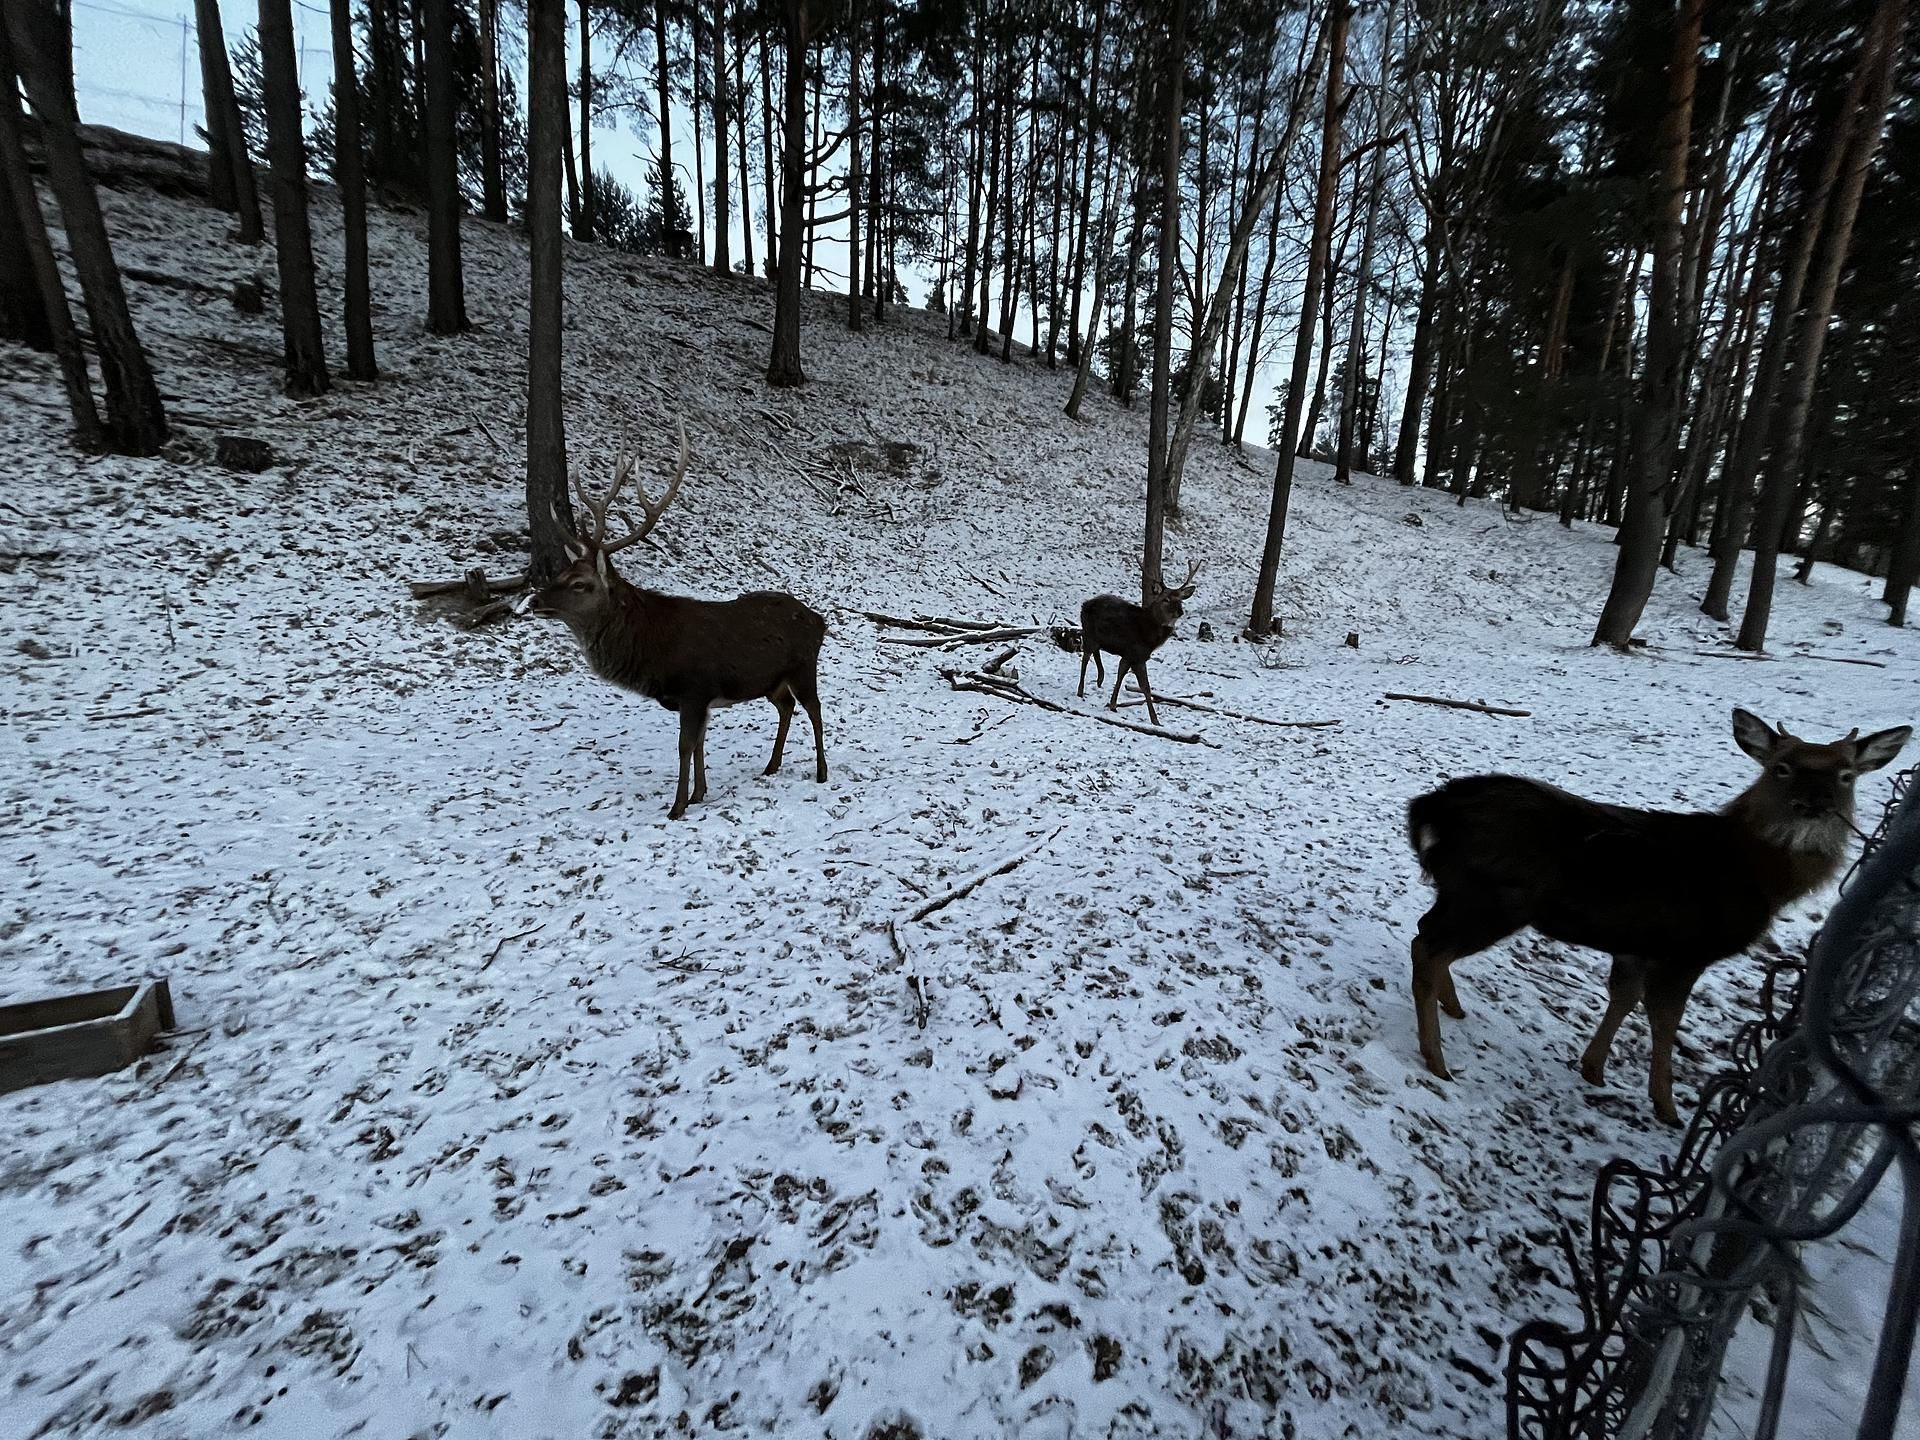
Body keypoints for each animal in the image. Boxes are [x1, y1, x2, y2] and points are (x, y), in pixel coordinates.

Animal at [533, 422, 825, 817]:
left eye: (580, 583)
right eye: (562, 574)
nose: (534, 600)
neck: (654, 651)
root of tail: (820, 621)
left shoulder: (695, 689)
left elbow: (685, 745)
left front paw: (677, 807)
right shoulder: (700, 700)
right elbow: (699, 743)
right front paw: (699, 793)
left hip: (802, 666)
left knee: (815, 710)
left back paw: (822, 772)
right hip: (771, 681)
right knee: (787, 707)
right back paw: (771, 765)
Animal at [1082, 556, 1198, 725]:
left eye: (1181, 600)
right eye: (1166, 599)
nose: (1180, 611)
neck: (1148, 636)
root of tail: (1084, 604)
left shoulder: (1133, 656)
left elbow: (1128, 677)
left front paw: (1113, 704)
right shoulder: (1134, 653)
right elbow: (1144, 686)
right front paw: (1155, 720)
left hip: (1096, 637)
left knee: (1095, 651)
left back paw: (1100, 678)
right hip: (1088, 633)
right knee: (1085, 657)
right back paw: (1080, 690)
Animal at [1413, 710, 1904, 1128]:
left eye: (1846, 775)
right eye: (1782, 767)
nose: (1815, 803)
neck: (1758, 877)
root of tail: (1430, 809)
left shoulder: (1637, 943)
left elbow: (1624, 996)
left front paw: (1594, 1068)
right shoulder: (1689, 948)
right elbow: (1666, 1018)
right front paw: (1666, 1107)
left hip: (1464, 893)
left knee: (1426, 935)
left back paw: (1451, 1008)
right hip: (1495, 898)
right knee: (1429, 945)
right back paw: (1436, 1059)